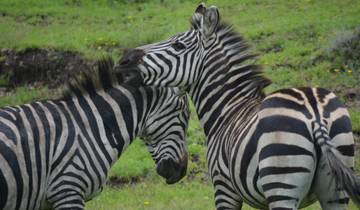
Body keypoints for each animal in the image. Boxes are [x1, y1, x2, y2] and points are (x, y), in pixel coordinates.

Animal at [116, 3, 358, 210]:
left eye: (178, 45)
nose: (123, 62)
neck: (227, 108)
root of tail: (315, 114)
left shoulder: (224, 189)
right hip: (335, 191)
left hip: (281, 184)